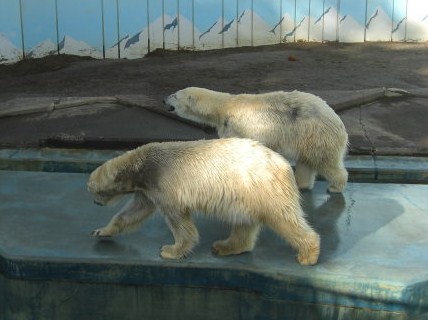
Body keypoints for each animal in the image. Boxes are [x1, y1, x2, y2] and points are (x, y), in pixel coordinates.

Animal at [88, 139, 320, 266]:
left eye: (94, 191)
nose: (95, 203)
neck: (142, 166)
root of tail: (283, 164)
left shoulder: (165, 184)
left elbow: (179, 221)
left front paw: (170, 250)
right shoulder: (148, 189)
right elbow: (134, 212)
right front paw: (101, 231)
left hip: (263, 187)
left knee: (283, 218)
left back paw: (308, 253)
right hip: (248, 194)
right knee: (245, 223)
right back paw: (225, 246)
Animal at [163, 87, 348, 192]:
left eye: (174, 95)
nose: (163, 99)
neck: (223, 107)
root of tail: (337, 121)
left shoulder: (237, 127)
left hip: (316, 133)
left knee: (324, 161)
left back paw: (335, 187)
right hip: (306, 137)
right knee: (306, 161)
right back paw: (301, 183)